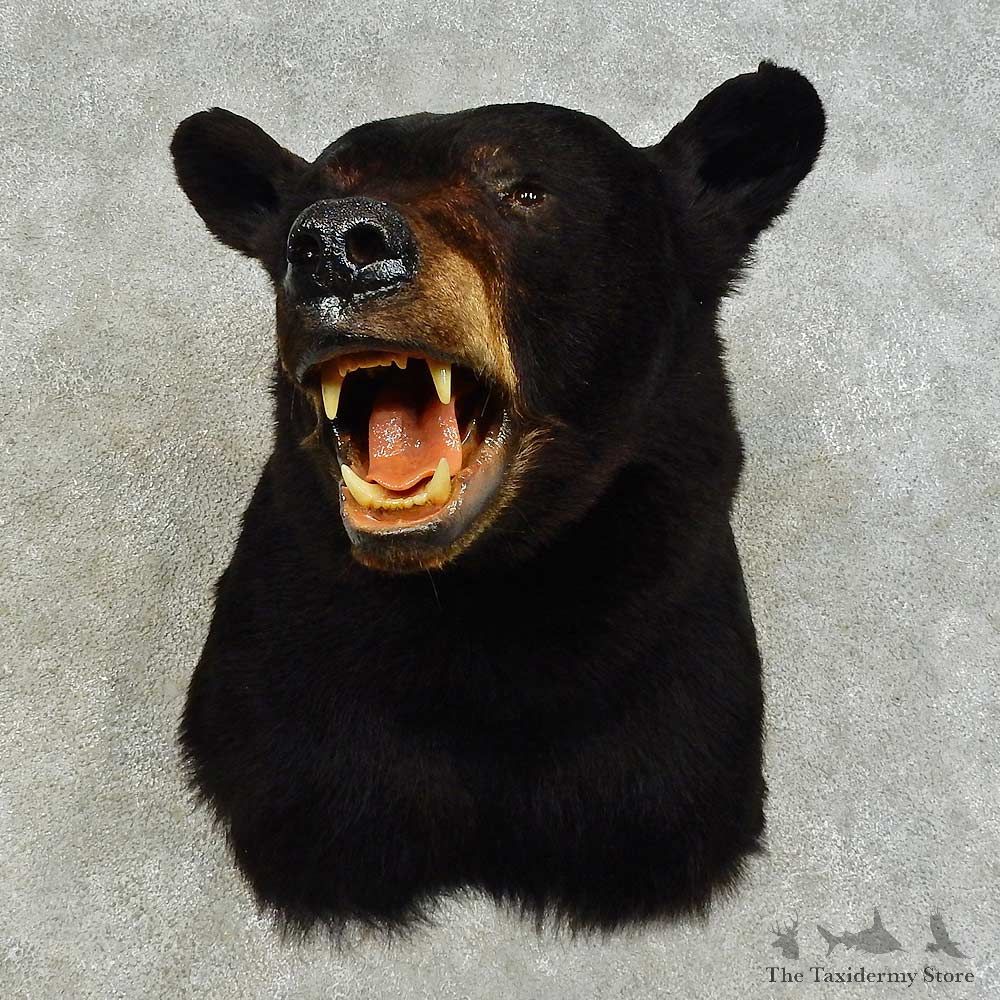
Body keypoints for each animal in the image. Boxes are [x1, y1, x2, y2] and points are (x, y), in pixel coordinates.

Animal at [170, 60, 825, 936]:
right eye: (310, 204)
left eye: (525, 191)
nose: (335, 244)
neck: (484, 601)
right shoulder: (290, 697)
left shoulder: (667, 706)